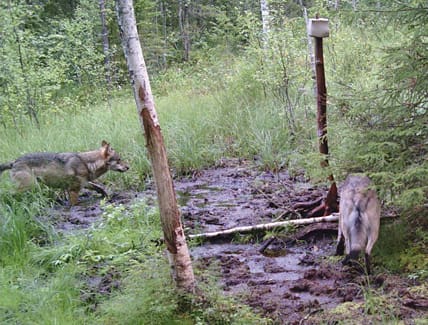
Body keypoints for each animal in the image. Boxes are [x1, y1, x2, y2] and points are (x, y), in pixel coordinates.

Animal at [0, 140, 129, 205]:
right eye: (119, 160)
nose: (128, 167)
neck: (87, 163)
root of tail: (14, 162)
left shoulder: (84, 183)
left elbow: (99, 188)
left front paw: (106, 197)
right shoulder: (73, 191)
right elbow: (75, 204)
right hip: (29, 186)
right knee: (8, 195)